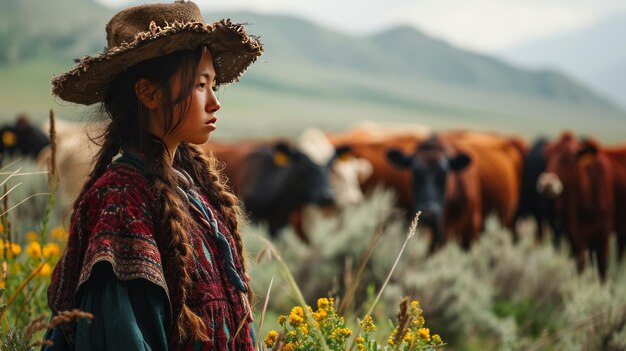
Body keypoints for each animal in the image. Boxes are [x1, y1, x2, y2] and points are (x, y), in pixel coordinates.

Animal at [532, 133, 612, 280]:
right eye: (548, 156)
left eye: (570, 157)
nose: (547, 183)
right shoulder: (575, 237)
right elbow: (580, 266)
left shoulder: (603, 236)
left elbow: (602, 270)